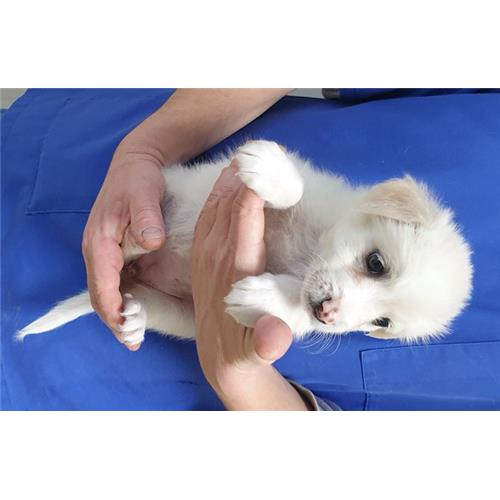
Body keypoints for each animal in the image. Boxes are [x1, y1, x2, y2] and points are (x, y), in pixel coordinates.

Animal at [17, 140, 473, 346]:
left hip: (183, 316)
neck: (305, 253)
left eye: (382, 323)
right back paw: (132, 244)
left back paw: (134, 318)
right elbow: (293, 189)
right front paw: (270, 171)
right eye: (376, 263)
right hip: (166, 193)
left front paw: (265, 297)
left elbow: (295, 315)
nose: (328, 315)